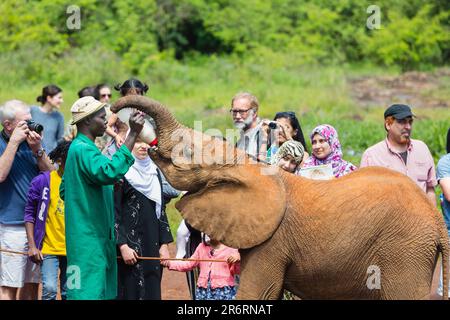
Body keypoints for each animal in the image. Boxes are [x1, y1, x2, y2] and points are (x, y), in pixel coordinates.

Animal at [110, 95, 448, 300]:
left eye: (188, 156)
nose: (116, 110)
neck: (248, 166)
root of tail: (436, 221)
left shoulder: (272, 243)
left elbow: (256, 292)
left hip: (405, 248)